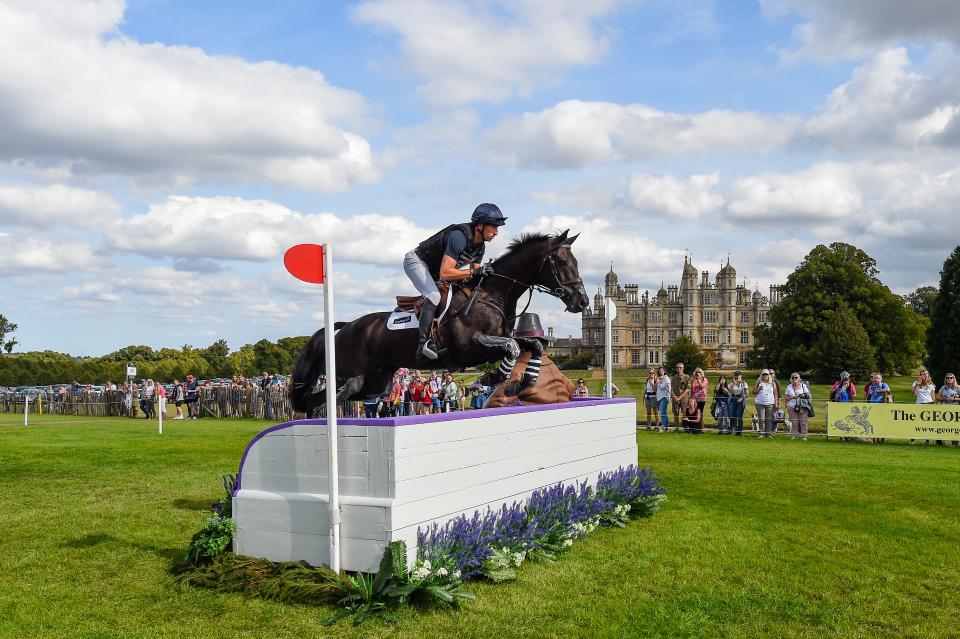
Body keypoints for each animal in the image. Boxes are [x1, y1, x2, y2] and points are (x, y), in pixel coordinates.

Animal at [290, 230, 592, 416]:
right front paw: (493, 378)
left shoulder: (500, 341)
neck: (491, 295)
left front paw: (523, 382)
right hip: (352, 373)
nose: (582, 301)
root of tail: (346, 326)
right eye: (561, 262)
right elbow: (513, 348)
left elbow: (531, 345)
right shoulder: (469, 347)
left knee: (326, 399)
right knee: (326, 397)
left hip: (376, 382)